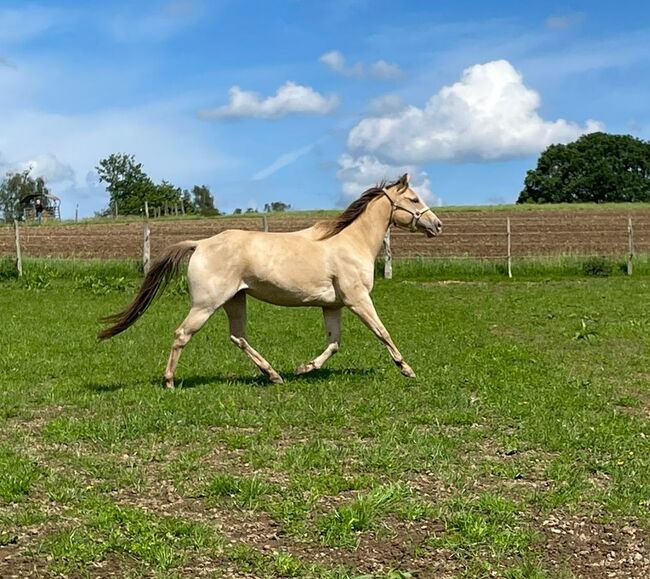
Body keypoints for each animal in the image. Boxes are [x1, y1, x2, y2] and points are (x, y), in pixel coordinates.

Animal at [97, 173, 440, 390]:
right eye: (414, 198)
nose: (437, 225)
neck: (350, 241)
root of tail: (200, 244)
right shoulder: (358, 299)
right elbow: (382, 332)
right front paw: (407, 369)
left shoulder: (333, 305)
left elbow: (334, 343)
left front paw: (305, 368)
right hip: (206, 304)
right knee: (183, 334)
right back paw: (169, 381)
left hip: (235, 300)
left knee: (238, 336)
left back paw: (273, 374)